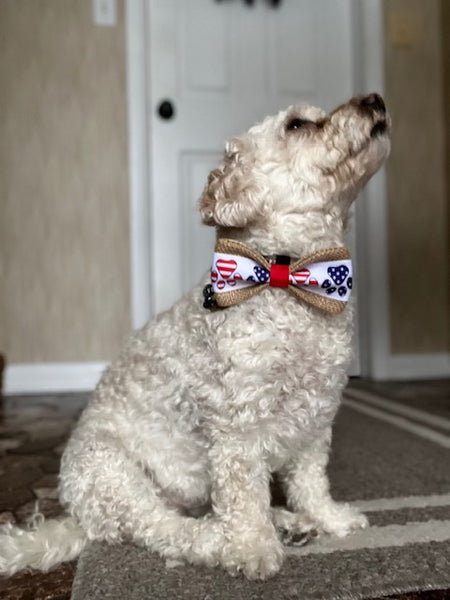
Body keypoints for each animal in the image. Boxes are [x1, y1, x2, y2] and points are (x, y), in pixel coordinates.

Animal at [0, 92, 390, 576]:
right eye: (298, 125)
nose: (374, 99)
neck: (285, 278)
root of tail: (78, 516)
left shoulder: (314, 419)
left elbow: (310, 481)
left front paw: (327, 517)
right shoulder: (237, 431)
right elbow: (244, 498)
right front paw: (251, 549)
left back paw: (287, 522)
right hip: (114, 472)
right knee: (169, 530)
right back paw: (222, 541)